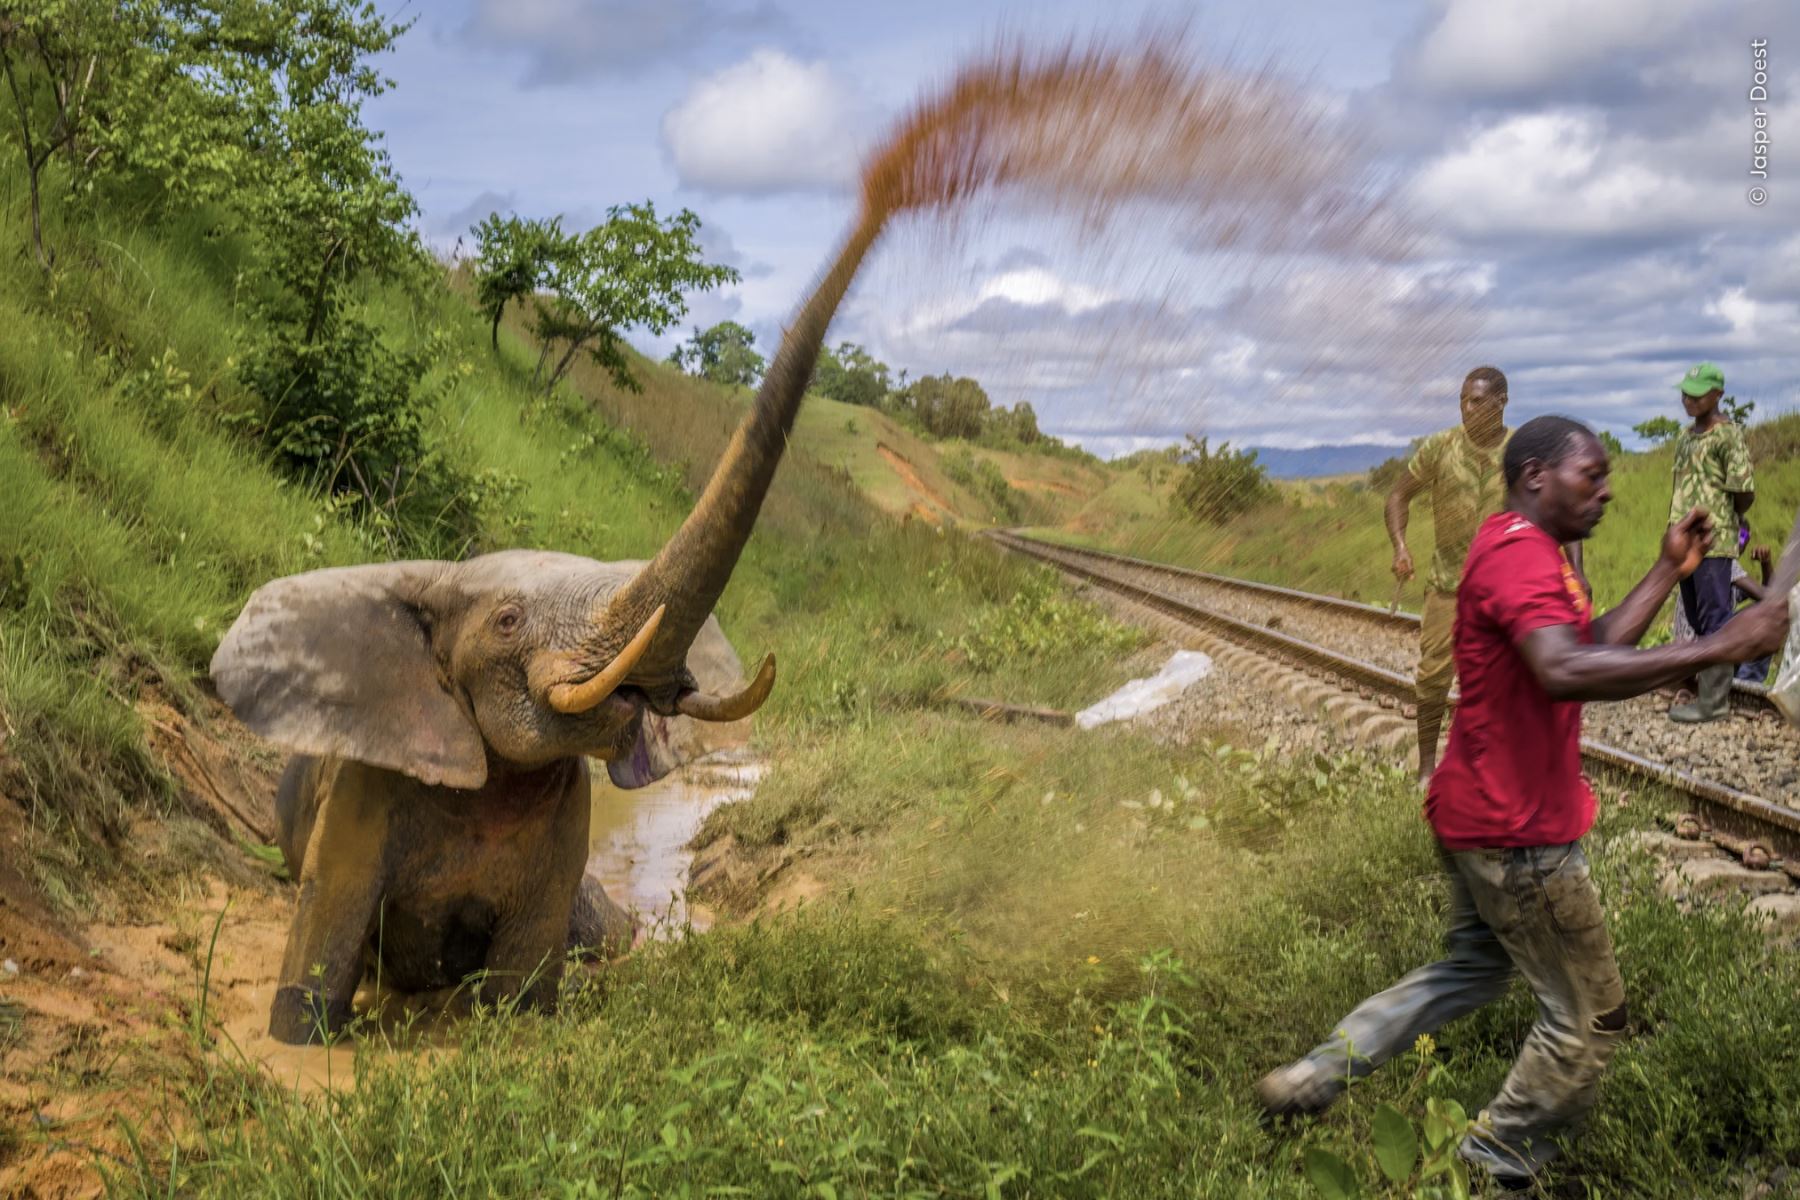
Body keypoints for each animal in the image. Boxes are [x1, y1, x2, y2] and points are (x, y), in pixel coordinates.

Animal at [214, 206, 889, 1043]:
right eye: (507, 620)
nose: (886, 196)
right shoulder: (364, 785)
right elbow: (327, 924)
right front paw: (301, 1041)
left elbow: (526, 983)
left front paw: (515, 1024)